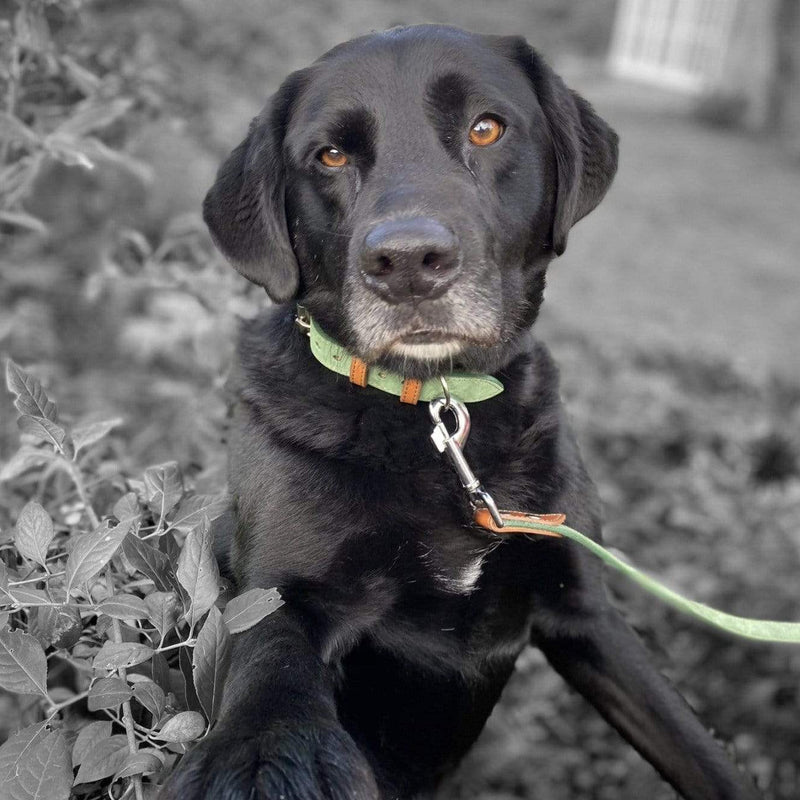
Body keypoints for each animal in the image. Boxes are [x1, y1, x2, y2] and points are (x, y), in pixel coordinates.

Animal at [161, 25, 756, 800]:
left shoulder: (583, 608)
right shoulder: (277, 593)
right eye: (330, 155)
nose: (408, 262)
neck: (433, 409)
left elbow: (696, 746)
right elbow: (270, 665)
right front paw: (261, 757)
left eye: (486, 128)